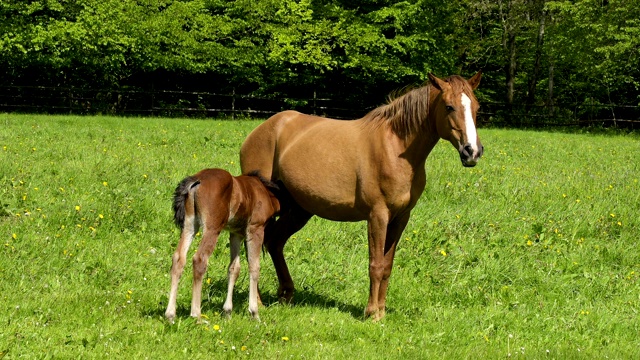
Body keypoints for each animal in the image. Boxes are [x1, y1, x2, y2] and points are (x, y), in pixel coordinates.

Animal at [165, 169, 280, 324]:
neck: (263, 190)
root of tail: (196, 180)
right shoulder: (255, 229)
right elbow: (254, 267)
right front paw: (254, 313)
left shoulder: (235, 233)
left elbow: (234, 268)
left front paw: (227, 312)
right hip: (212, 228)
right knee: (199, 259)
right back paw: (197, 316)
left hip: (189, 225)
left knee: (178, 258)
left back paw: (170, 315)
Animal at [242, 71, 482, 320]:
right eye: (449, 107)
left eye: (476, 106)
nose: (472, 152)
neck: (395, 148)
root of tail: (262, 130)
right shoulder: (378, 215)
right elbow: (375, 264)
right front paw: (372, 313)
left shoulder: (400, 218)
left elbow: (387, 265)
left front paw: (381, 311)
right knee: (254, 249)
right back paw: (258, 304)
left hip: (298, 210)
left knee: (275, 242)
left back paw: (286, 294)